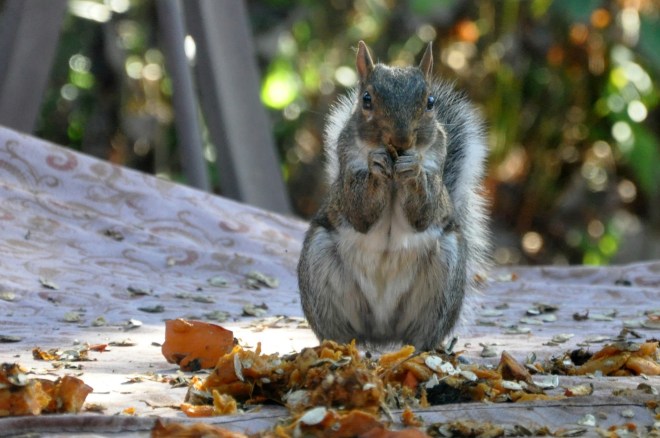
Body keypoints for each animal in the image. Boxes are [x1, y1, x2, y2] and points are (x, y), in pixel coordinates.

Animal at [297, 41, 489, 351]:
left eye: (430, 102)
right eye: (366, 99)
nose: (401, 141)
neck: (393, 179)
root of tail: (383, 333)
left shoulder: (434, 172)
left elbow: (423, 214)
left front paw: (413, 169)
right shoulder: (347, 177)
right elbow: (359, 213)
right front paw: (376, 165)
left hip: (443, 282)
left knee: (422, 335)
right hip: (319, 267)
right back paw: (337, 348)